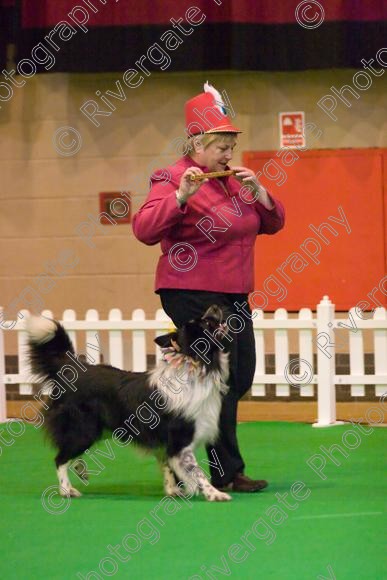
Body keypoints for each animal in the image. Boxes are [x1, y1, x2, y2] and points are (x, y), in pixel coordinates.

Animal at [28, 306, 233, 500]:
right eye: (205, 323)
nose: (215, 306)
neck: (195, 366)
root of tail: (71, 369)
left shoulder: (166, 442)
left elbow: (167, 466)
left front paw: (173, 491)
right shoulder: (180, 439)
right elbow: (197, 472)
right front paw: (214, 494)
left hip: (98, 429)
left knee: (70, 452)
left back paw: (80, 472)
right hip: (84, 428)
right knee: (60, 459)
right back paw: (66, 490)